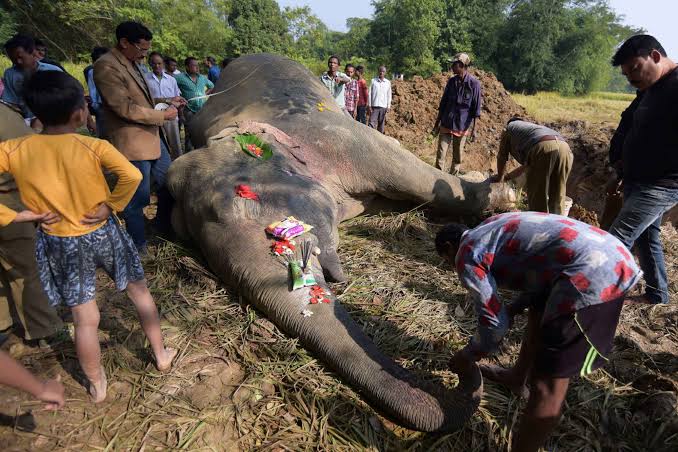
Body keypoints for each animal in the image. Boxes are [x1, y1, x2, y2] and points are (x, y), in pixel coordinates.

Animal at [167, 54, 515, 433]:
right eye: (188, 235)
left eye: (244, 202)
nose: (461, 366)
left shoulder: (338, 137)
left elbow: (420, 179)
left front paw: (504, 196)